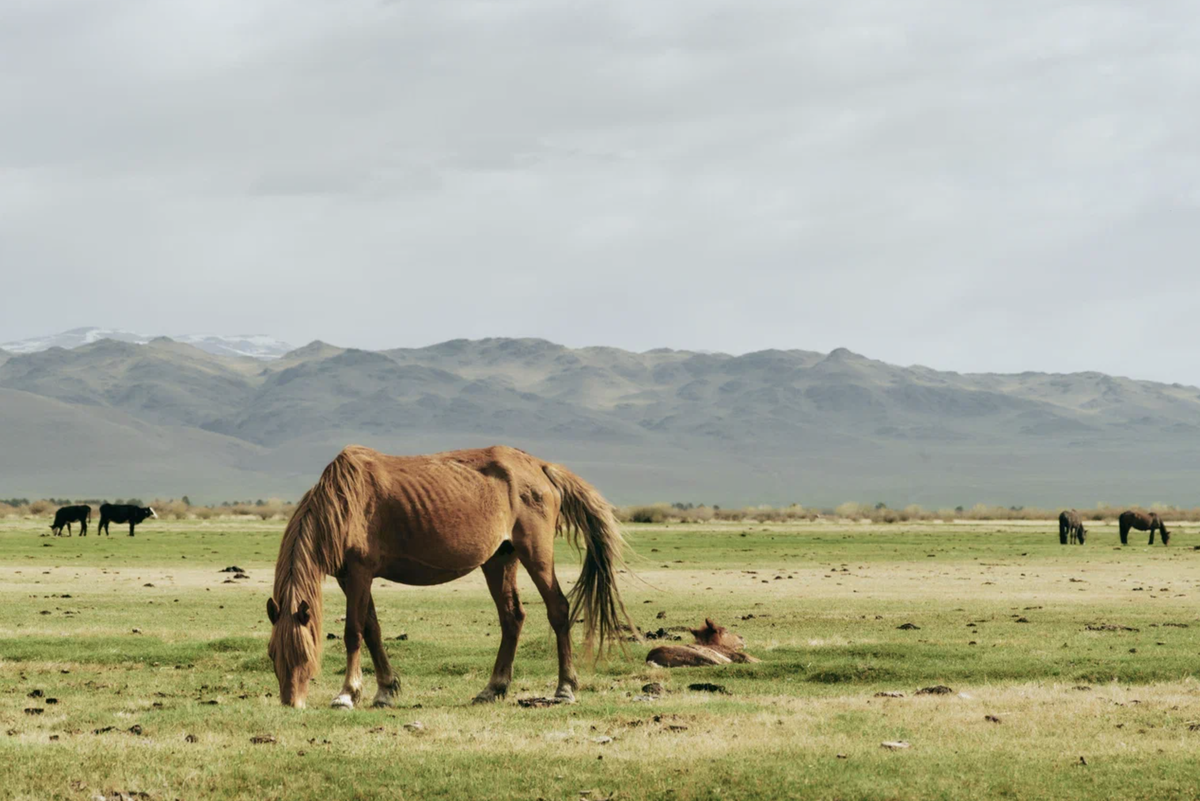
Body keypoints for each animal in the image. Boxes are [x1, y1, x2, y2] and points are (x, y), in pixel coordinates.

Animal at [265, 448, 638, 709]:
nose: (291, 703)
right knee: (512, 618)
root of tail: (541, 467)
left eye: (305, 656)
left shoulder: (359, 572)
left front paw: (346, 694)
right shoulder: (351, 577)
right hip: (500, 560)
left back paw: (565, 688)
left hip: (536, 553)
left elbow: (354, 632)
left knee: (558, 610)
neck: (343, 503)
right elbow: (372, 630)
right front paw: (385, 690)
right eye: (272, 654)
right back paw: (493, 688)